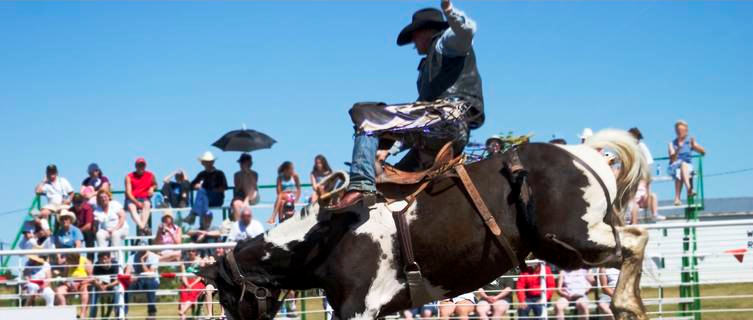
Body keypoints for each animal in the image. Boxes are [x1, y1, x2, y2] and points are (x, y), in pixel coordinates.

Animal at [201, 128, 652, 320]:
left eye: (226, 295)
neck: (326, 238)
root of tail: (585, 152)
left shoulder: (357, 308)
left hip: (575, 239)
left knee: (634, 239)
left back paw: (626, 305)